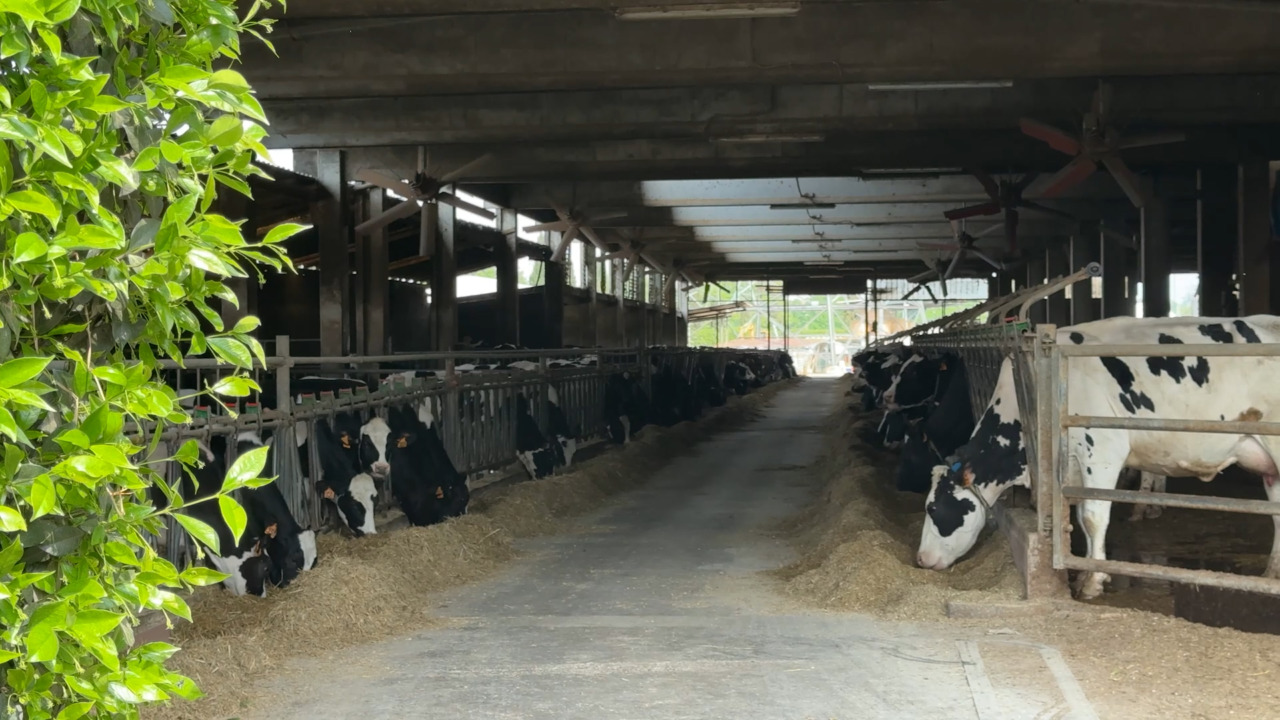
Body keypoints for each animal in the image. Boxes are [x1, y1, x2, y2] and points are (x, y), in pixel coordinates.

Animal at [916, 316, 1280, 600]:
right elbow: (1080, 517)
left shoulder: (1102, 448)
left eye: (932, 508)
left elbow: (1094, 516)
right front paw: (1083, 572)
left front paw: (1094, 580)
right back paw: (1272, 573)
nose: (921, 559)